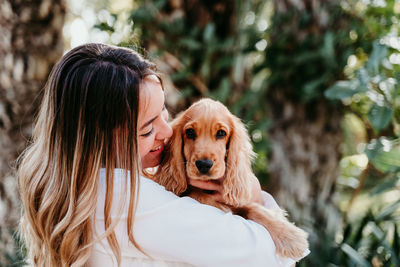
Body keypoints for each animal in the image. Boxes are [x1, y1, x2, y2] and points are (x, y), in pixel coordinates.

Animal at [152, 98, 308, 260]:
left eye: (221, 133)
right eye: (189, 132)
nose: (204, 164)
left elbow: (253, 208)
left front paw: (291, 237)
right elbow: (198, 195)